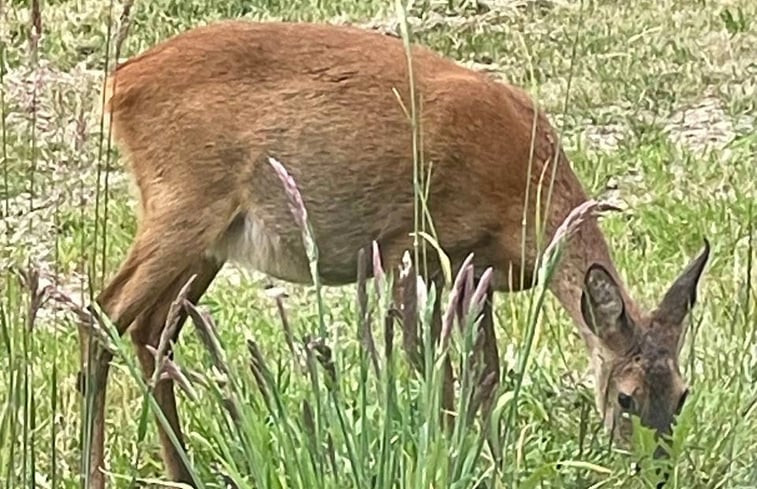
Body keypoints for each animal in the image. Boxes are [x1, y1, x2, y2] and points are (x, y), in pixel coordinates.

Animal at [79, 20, 712, 488]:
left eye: (682, 395)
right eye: (626, 399)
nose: (659, 473)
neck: (520, 190)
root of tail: (119, 83)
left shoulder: (474, 267)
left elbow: (484, 371)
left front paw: (490, 460)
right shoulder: (408, 244)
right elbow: (435, 364)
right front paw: (461, 457)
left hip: (210, 236)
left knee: (152, 332)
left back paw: (183, 473)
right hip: (182, 204)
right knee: (100, 315)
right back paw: (98, 475)